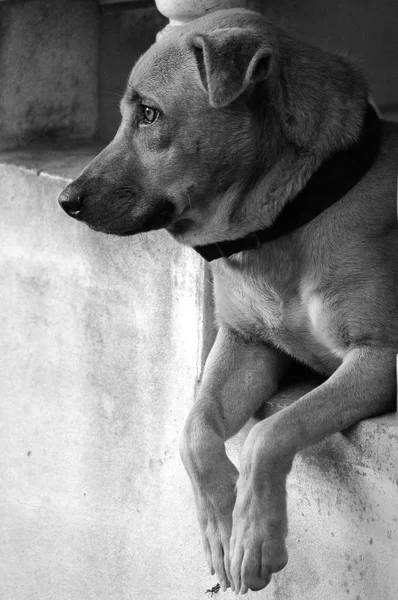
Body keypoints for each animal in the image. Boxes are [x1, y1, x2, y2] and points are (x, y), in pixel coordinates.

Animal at [58, 9, 398, 596]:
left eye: (149, 113)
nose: (65, 200)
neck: (288, 218)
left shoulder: (380, 356)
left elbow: (270, 430)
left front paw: (252, 537)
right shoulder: (246, 342)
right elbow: (193, 430)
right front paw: (221, 524)